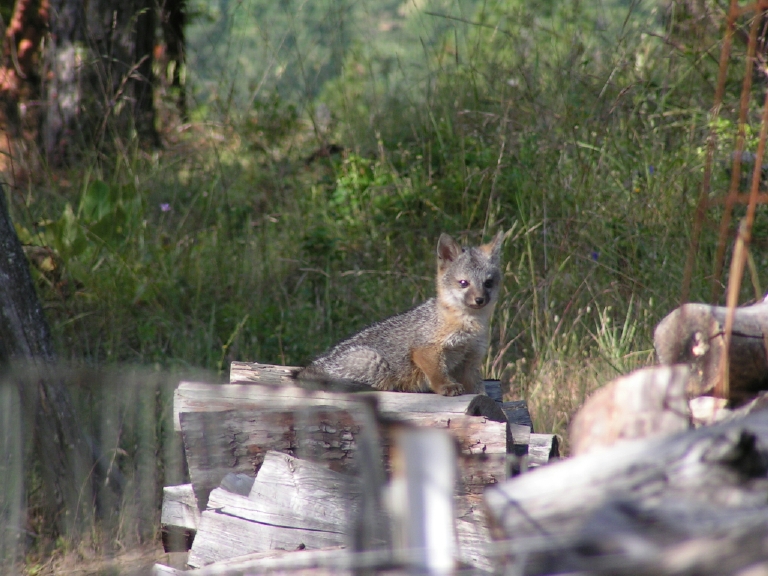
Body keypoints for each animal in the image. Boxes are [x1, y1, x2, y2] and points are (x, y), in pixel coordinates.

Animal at [296, 231, 508, 396]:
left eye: (488, 283)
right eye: (464, 283)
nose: (480, 300)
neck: (468, 324)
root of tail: (313, 366)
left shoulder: (470, 360)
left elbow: (480, 391)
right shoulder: (426, 349)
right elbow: (437, 373)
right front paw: (445, 386)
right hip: (377, 364)